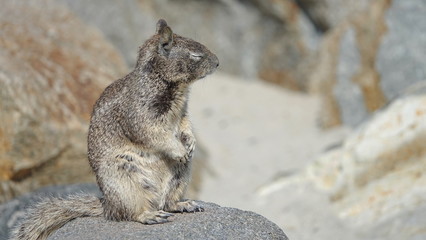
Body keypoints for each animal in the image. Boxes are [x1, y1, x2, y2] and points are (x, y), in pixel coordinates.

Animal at [11, 19, 220, 240]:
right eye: (195, 54)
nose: (217, 63)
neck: (169, 84)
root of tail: (108, 206)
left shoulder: (182, 112)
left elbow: (185, 125)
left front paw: (190, 142)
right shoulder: (140, 113)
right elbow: (152, 132)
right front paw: (179, 150)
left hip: (180, 177)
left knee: (167, 203)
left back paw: (184, 204)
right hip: (126, 182)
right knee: (131, 213)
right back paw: (150, 215)